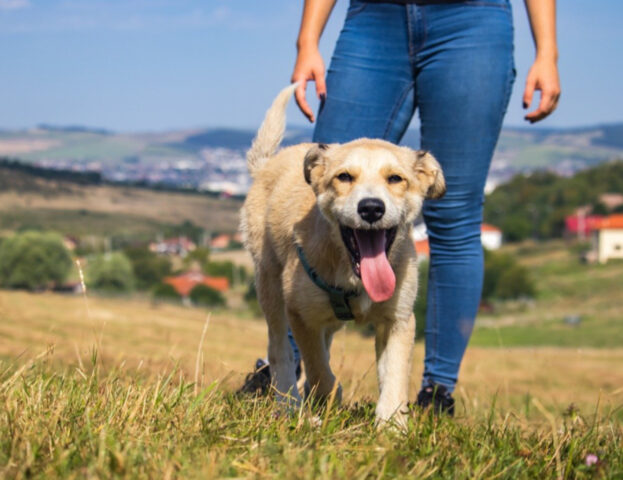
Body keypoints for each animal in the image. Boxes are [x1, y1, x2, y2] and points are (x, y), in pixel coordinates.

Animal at [241, 84, 446, 426]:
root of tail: (267, 165)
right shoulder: (301, 316)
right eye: (344, 177)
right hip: (270, 287)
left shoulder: (399, 320)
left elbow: (395, 376)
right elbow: (319, 369)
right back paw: (290, 407)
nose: (372, 208)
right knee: (280, 352)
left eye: (395, 178)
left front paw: (392, 427)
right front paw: (328, 399)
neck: (351, 272)